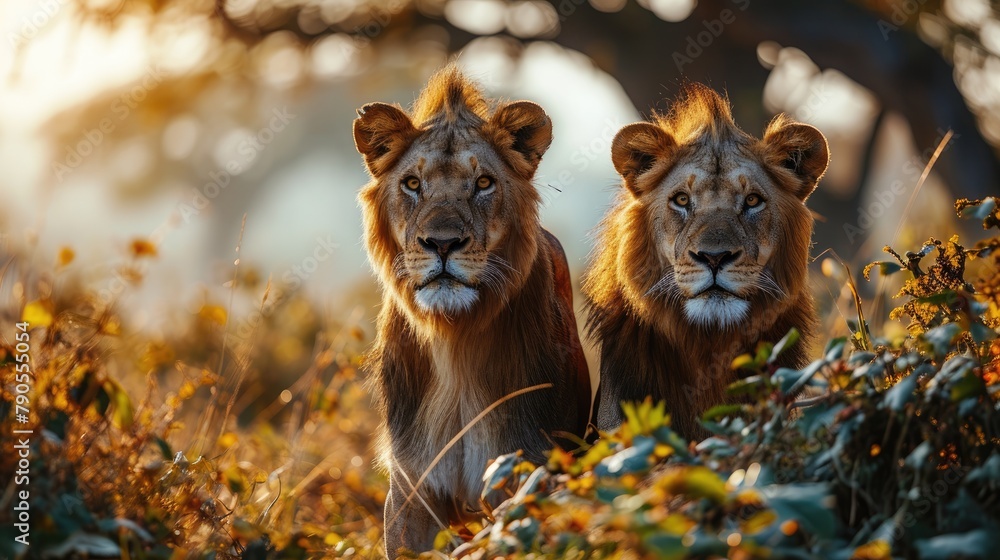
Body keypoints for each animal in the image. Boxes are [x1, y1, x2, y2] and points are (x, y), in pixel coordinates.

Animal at [353, 66, 592, 556]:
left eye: (483, 183)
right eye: (412, 183)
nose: (442, 244)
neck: (455, 341)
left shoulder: (523, 472)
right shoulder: (410, 489)